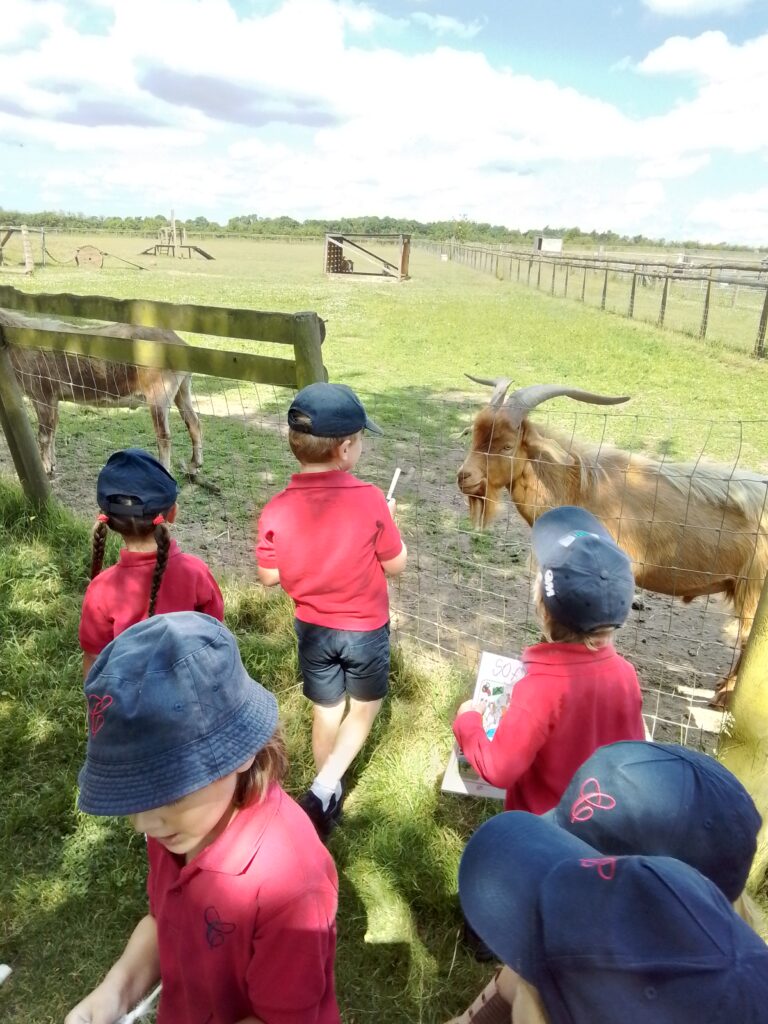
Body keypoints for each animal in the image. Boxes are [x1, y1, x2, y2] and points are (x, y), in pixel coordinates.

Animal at [0, 307, 202, 475]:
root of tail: (180, 344)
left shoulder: (43, 395)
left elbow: (44, 435)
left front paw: (46, 469)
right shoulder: (54, 398)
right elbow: (53, 429)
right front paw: (53, 464)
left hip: (159, 394)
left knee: (164, 436)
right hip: (182, 389)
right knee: (193, 422)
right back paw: (194, 466)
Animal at [456, 376, 768, 704]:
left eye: (506, 446)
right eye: (475, 436)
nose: (464, 477)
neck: (579, 490)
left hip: (753, 591)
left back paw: (724, 696)